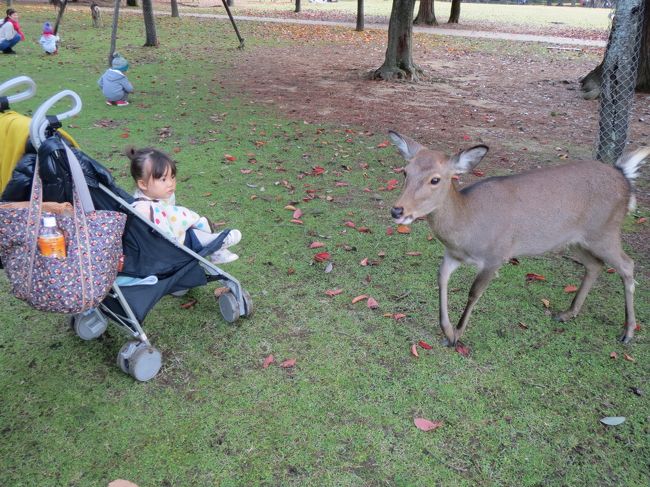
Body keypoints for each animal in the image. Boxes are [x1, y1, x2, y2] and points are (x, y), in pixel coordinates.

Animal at [388, 131, 649, 347]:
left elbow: (474, 292)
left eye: (435, 179)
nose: (397, 211)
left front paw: (458, 335)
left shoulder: (496, 255)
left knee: (627, 264)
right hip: (575, 240)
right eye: (405, 172)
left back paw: (628, 332)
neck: (466, 229)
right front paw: (448, 332)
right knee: (595, 265)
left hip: (605, 231)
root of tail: (624, 176)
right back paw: (567, 313)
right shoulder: (452, 254)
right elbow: (441, 279)